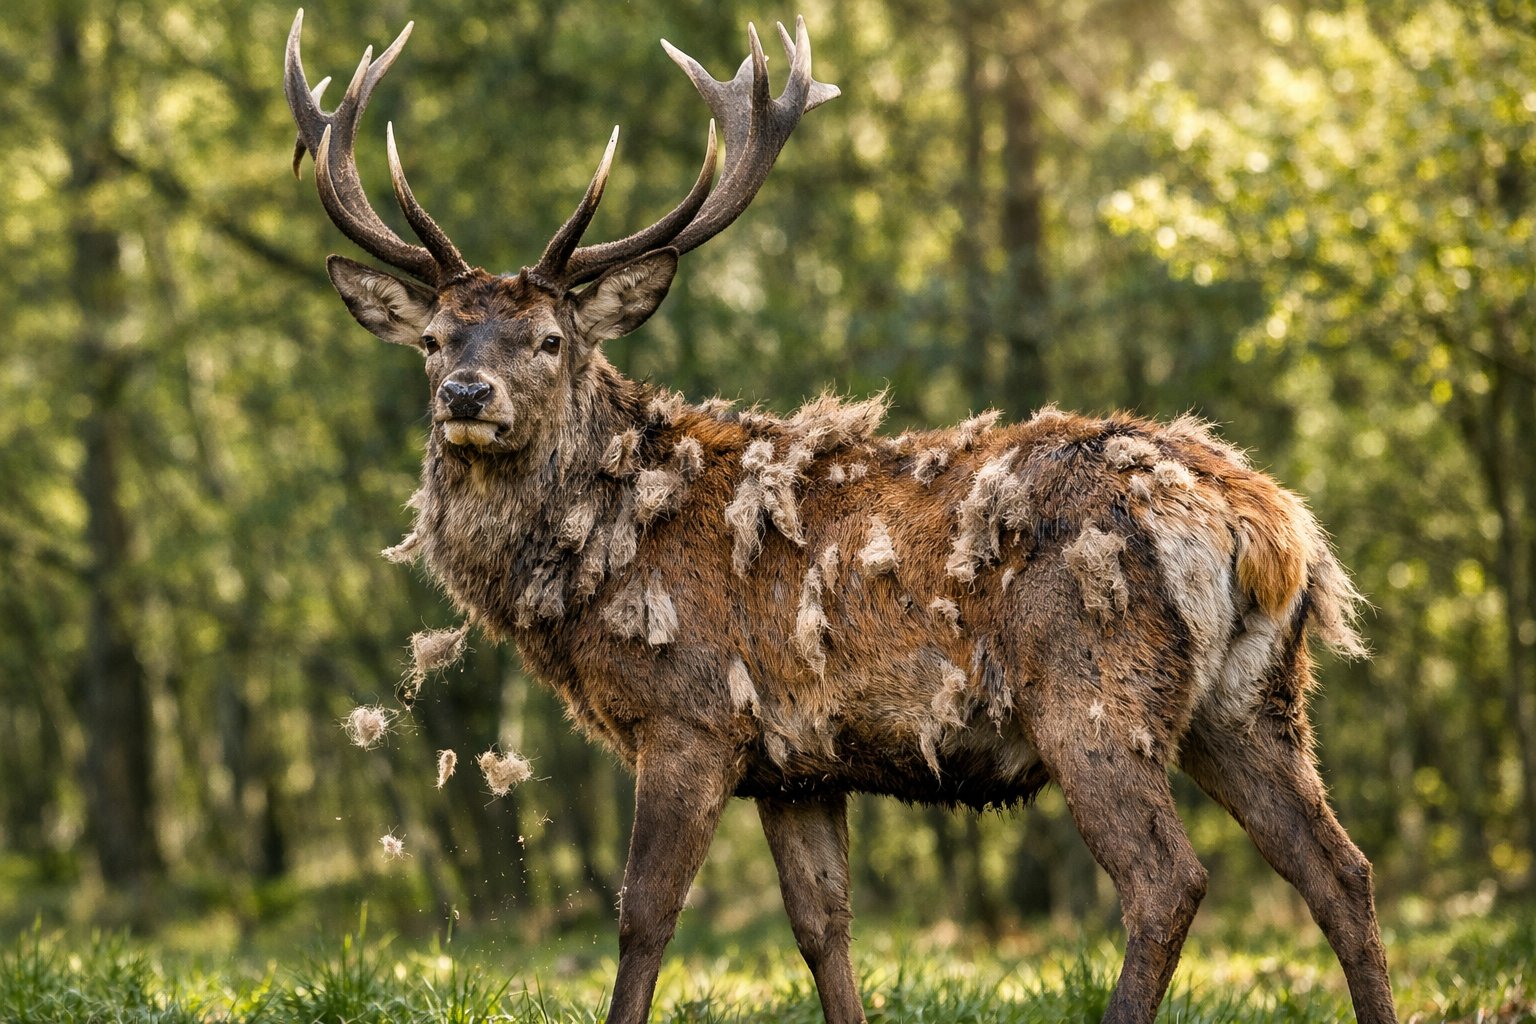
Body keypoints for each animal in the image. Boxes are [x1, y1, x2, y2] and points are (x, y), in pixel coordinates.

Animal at [283, 11, 1398, 1023]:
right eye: (434, 336)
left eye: (550, 339)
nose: (466, 394)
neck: (600, 555)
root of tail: (1270, 524)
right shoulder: (798, 764)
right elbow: (824, 928)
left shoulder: (693, 715)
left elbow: (644, 916)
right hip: (1249, 700)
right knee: (1341, 870)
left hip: (1092, 688)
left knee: (1168, 881)